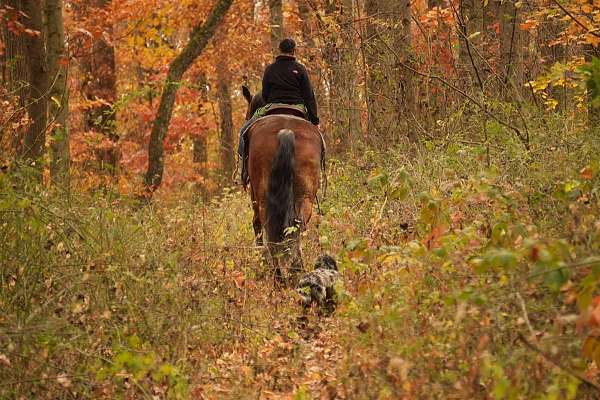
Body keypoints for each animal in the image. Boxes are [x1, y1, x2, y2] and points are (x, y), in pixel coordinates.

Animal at [240, 85, 324, 284]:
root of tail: (287, 131)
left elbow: (256, 225)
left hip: (263, 196)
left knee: (266, 225)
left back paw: (277, 275)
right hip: (305, 196)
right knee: (297, 226)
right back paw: (296, 271)